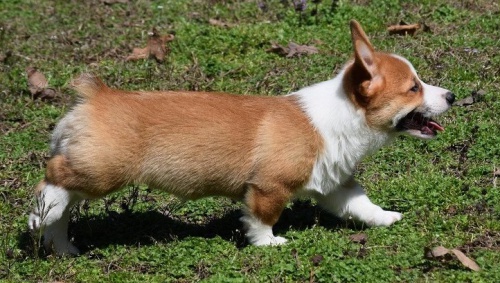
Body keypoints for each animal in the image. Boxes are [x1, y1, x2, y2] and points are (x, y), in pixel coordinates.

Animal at [29, 20, 456, 255]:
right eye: (414, 88)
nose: (452, 96)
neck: (343, 115)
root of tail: (96, 95)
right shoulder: (270, 186)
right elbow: (262, 218)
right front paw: (268, 244)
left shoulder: (335, 184)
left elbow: (361, 205)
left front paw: (387, 218)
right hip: (104, 169)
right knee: (53, 178)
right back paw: (39, 213)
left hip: (92, 171)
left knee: (63, 208)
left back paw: (61, 244)